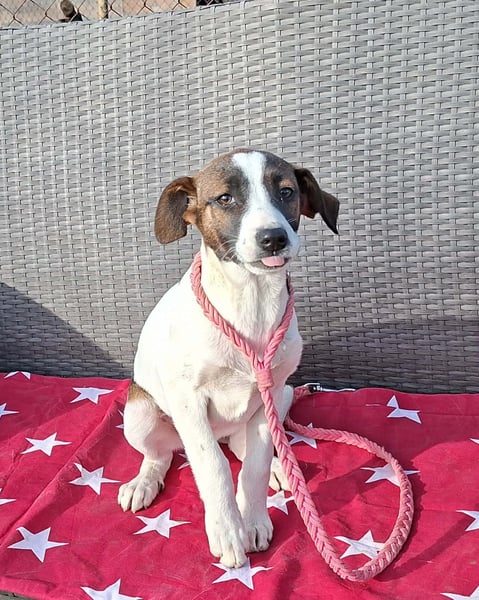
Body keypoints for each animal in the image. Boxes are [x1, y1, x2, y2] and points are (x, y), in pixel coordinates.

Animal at [118, 149, 339, 568]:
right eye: (224, 198)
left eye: (286, 192)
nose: (273, 238)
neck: (251, 301)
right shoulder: (188, 402)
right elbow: (212, 466)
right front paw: (227, 529)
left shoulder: (270, 392)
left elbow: (253, 466)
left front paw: (252, 520)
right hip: (139, 415)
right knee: (162, 454)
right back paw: (144, 480)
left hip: (281, 399)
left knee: (244, 448)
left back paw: (280, 469)